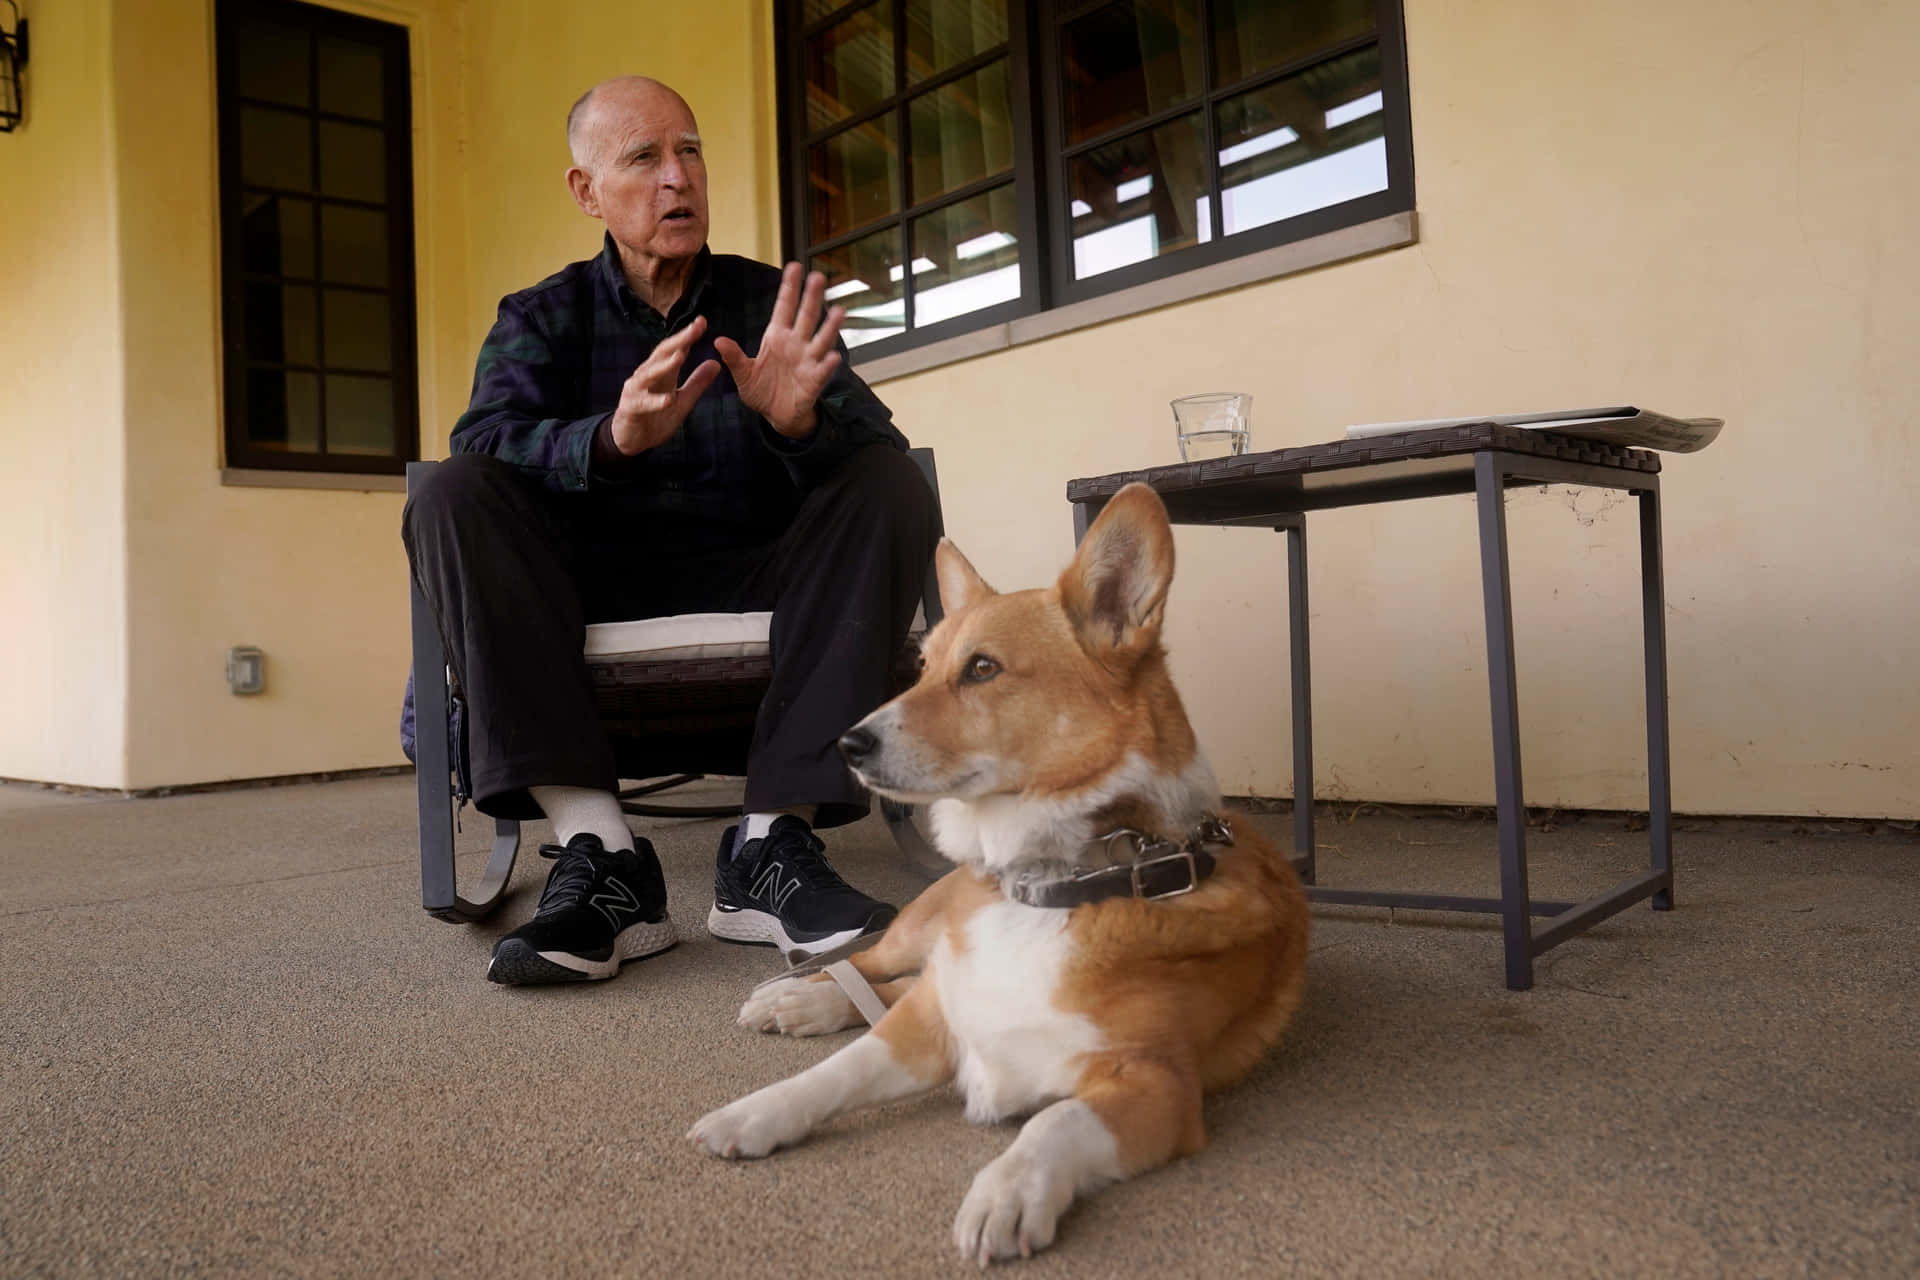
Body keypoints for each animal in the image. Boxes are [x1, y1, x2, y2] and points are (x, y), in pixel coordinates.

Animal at [687, 485, 1305, 1266]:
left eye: (982, 669)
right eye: (921, 667)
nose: (846, 745)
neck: (1049, 883)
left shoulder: (1156, 1085)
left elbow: (1054, 1123)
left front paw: (1008, 1191)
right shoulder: (922, 1027)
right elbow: (836, 1072)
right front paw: (755, 1112)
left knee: (890, 988)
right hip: (917, 933)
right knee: (871, 966)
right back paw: (797, 997)